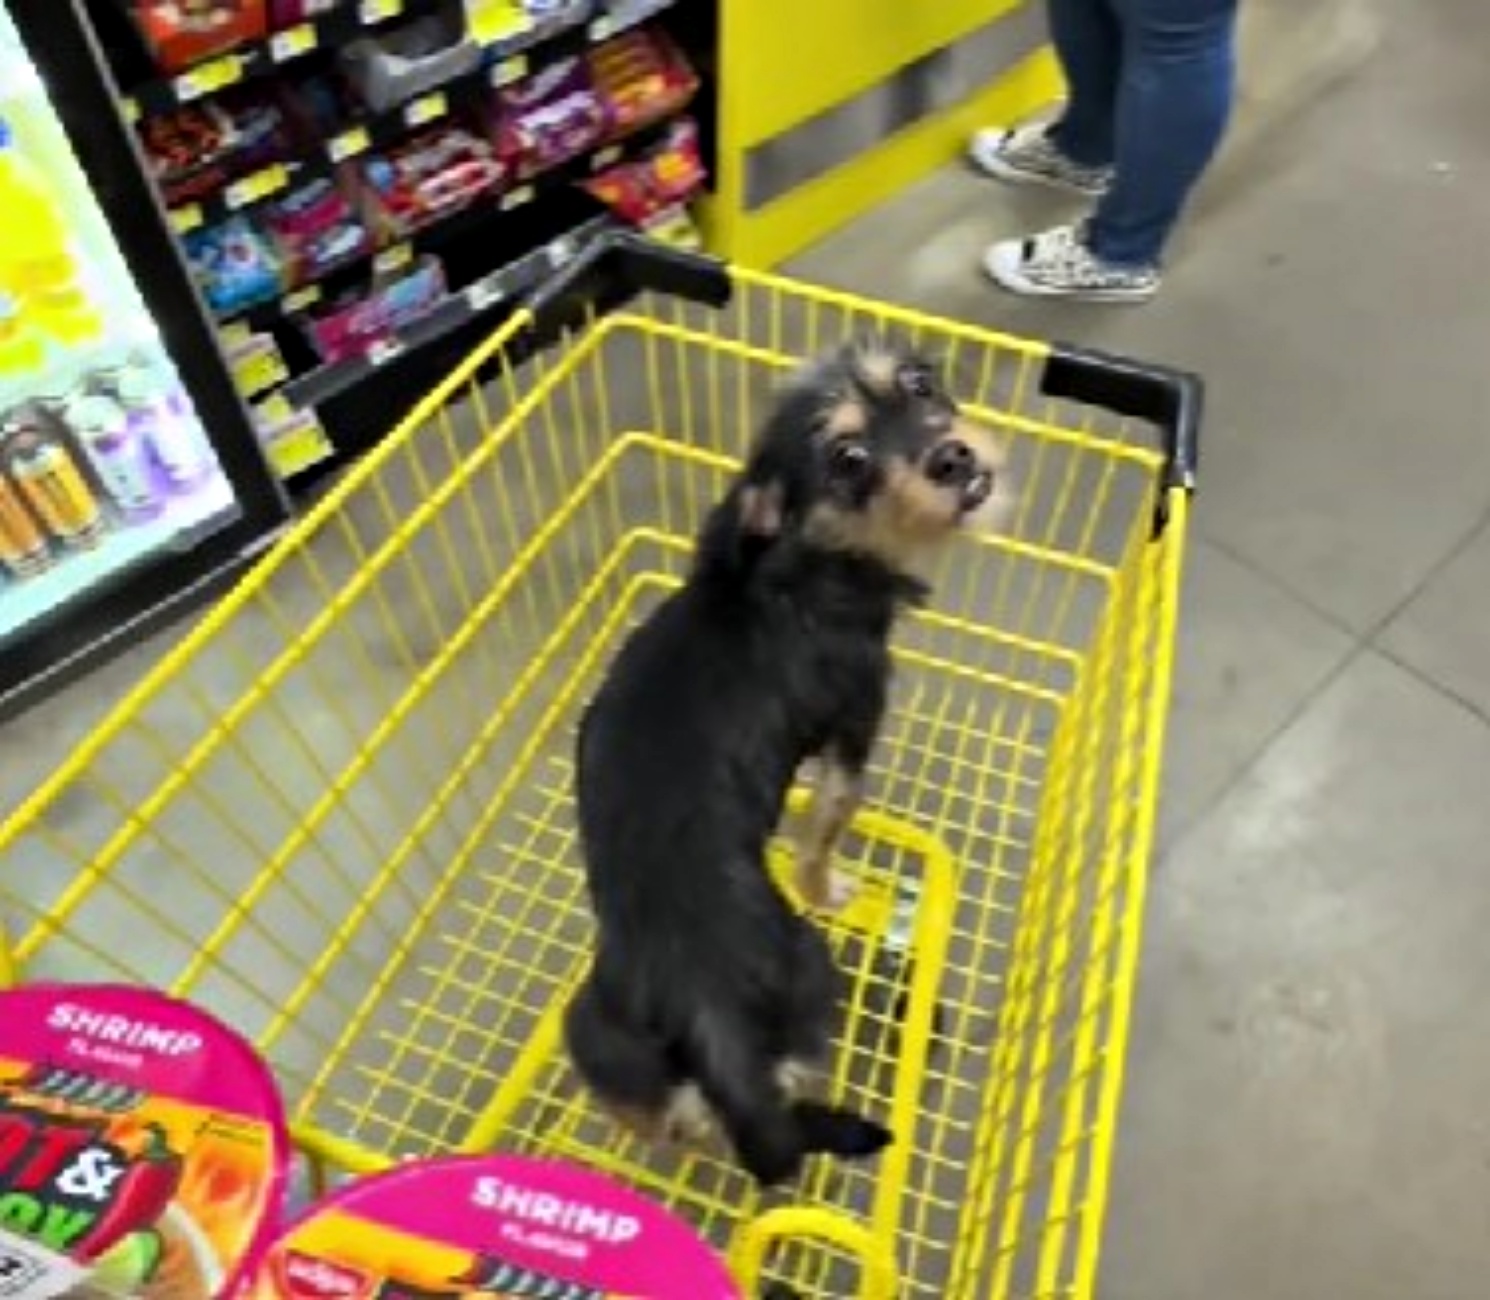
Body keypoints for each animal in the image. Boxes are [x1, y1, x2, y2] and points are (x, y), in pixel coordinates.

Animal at [563, 338, 1007, 1186]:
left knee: (659, 1116)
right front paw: (829, 886)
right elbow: (823, 835)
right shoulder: (853, 730)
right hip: (811, 982)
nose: (953, 455)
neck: (808, 559)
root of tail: (700, 1003)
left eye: (920, 384)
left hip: (596, 1038)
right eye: (849, 459)